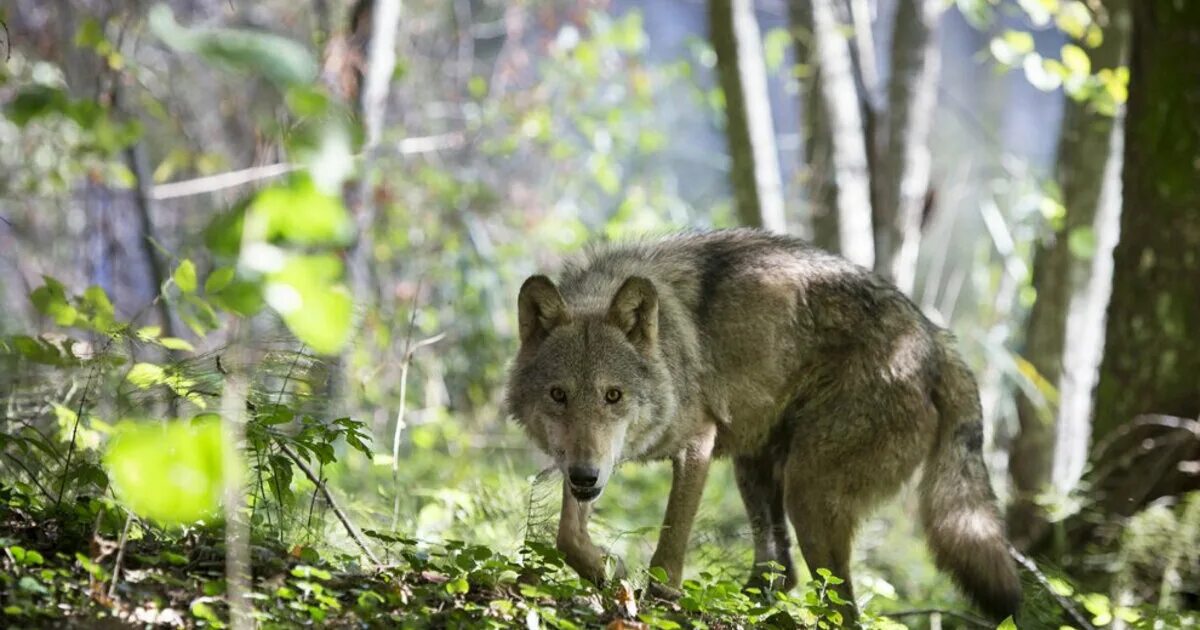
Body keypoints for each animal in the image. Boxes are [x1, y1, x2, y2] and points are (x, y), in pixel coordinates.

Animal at [506, 228, 1022, 619]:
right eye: (558, 396)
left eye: (613, 396)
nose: (583, 476)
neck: (667, 355)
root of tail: (935, 338)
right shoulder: (593, 463)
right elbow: (568, 536)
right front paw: (607, 574)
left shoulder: (697, 443)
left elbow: (669, 550)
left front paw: (656, 603)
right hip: (755, 469)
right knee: (783, 572)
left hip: (807, 493)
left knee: (842, 607)